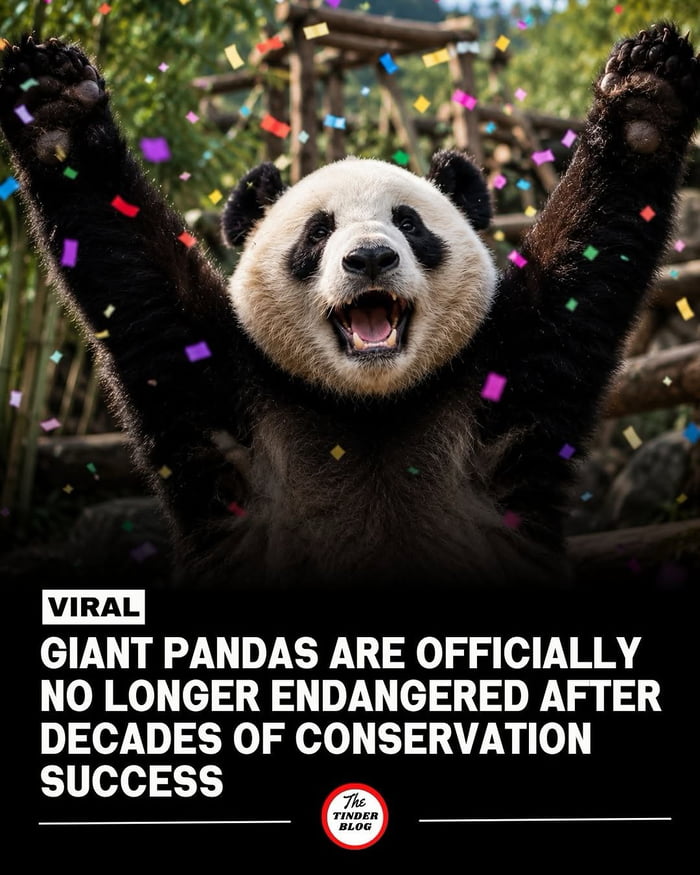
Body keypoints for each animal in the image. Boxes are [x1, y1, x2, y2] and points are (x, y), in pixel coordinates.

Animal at [0, 25, 698, 590]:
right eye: (318, 232)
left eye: (409, 223)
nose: (368, 259)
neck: (370, 405)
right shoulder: (218, 393)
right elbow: (136, 269)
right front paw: (54, 102)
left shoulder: (507, 390)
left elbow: (581, 262)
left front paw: (643, 97)